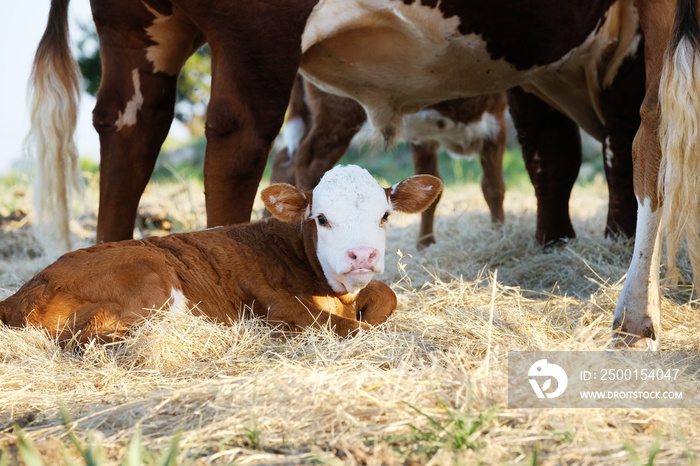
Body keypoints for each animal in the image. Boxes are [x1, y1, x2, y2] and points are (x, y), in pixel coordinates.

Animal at [0, 167, 440, 342]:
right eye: (322, 218)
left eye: (384, 215)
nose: (361, 255)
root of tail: (20, 293)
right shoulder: (279, 306)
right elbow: (349, 328)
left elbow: (387, 296)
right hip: (149, 274)